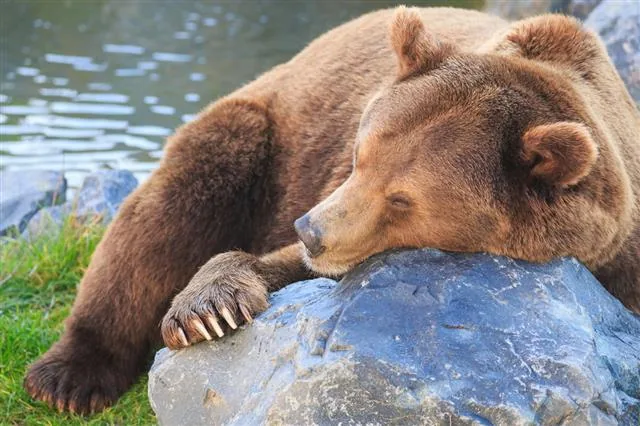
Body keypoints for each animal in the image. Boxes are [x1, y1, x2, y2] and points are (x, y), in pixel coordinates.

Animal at [24, 6, 640, 415]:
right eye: (360, 153)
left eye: (403, 199)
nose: (311, 231)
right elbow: (268, 266)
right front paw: (209, 310)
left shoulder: (623, 262)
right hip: (262, 139)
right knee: (161, 217)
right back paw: (69, 377)